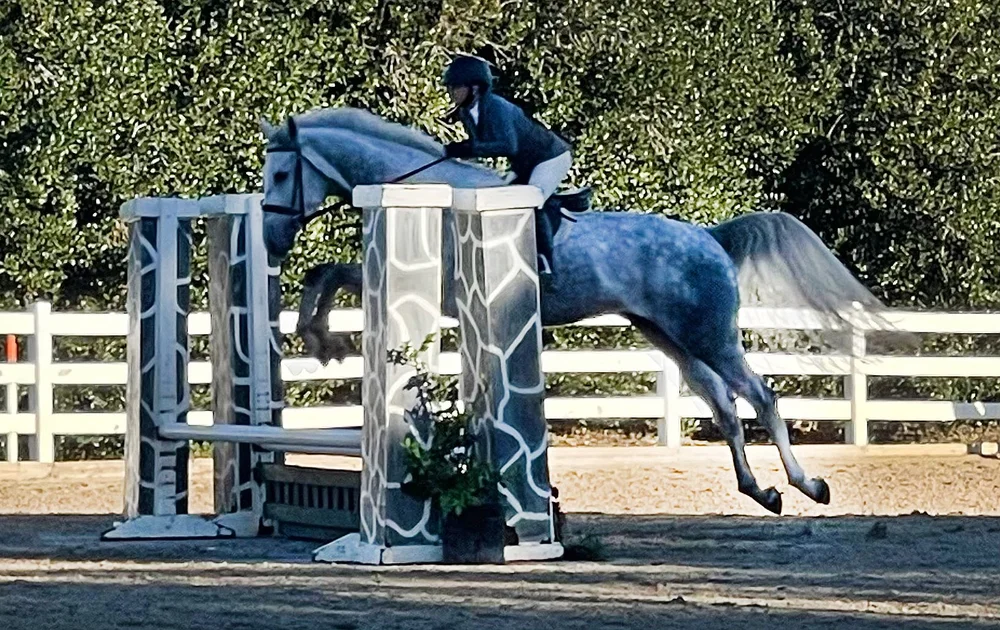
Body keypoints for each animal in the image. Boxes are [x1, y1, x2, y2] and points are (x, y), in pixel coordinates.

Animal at [259, 107, 887, 515]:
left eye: (284, 173)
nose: (270, 238)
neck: (425, 191)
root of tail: (709, 237)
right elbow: (326, 274)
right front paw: (318, 339)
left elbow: (332, 273)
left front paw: (322, 339)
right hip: (671, 338)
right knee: (725, 407)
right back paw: (762, 492)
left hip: (709, 335)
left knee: (760, 396)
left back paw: (808, 485)